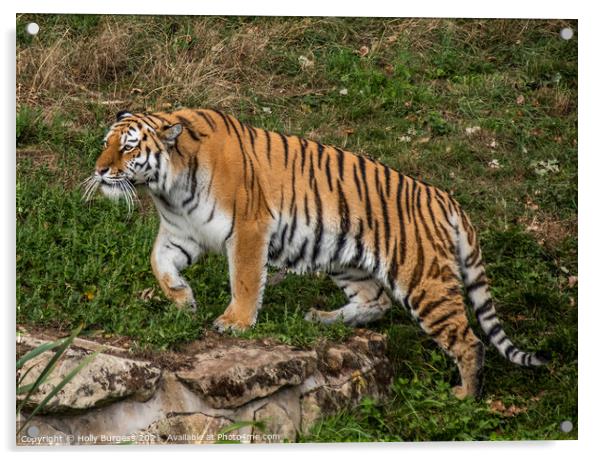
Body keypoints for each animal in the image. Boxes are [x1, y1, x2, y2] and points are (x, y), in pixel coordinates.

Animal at [85, 108, 548, 398]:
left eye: (128, 148)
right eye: (106, 143)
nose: (100, 170)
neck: (169, 187)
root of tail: (444, 197)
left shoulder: (249, 228)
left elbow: (245, 279)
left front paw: (235, 323)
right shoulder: (181, 232)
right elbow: (159, 263)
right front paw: (183, 300)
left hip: (424, 280)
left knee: (469, 341)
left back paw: (464, 396)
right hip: (345, 261)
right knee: (375, 302)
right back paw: (321, 319)